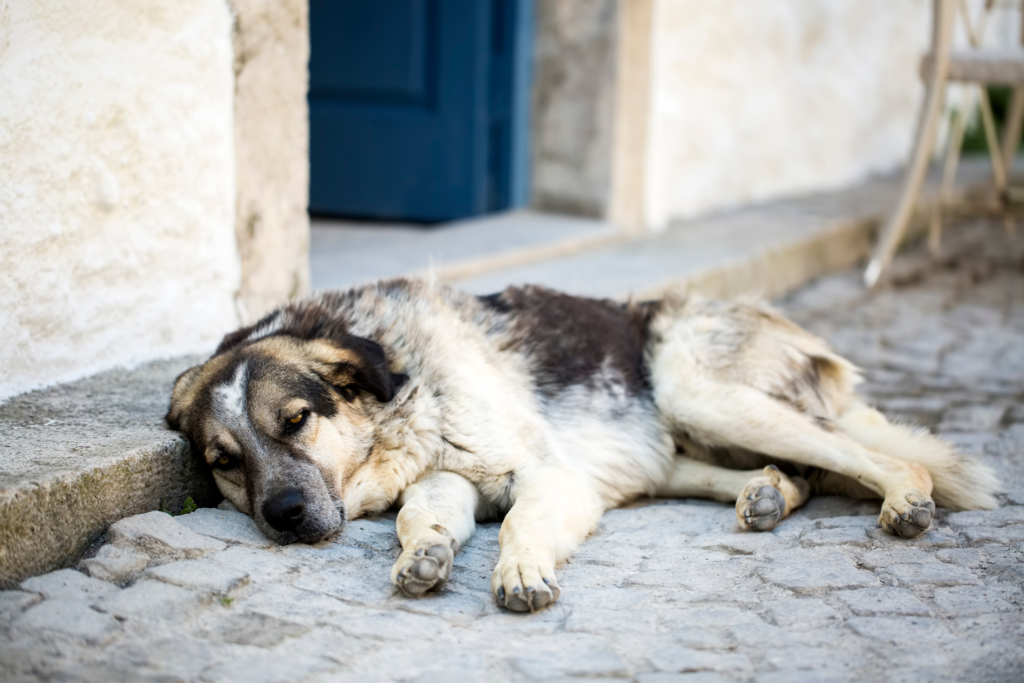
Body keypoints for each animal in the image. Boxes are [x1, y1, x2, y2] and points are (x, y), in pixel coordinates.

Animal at [167, 280, 999, 610]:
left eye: (296, 421)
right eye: (224, 461)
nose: (282, 516)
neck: (405, 384)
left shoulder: (544, 474)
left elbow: (520, 522)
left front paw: (520, 569)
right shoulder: (449, 475)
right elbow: (421, 518)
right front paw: (425, 552)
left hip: (698, 391)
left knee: (870, 456)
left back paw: (905, 496)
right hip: (667, 441)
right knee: (795, 472)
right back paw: (765, 493)